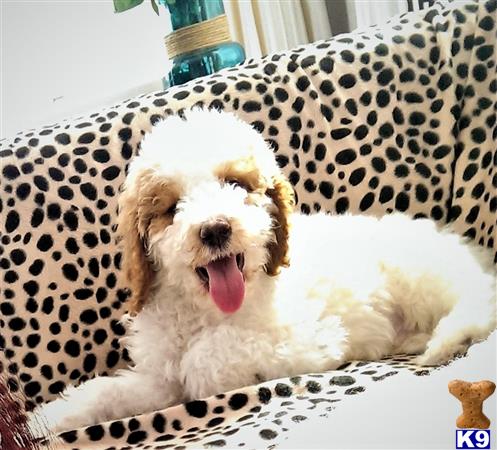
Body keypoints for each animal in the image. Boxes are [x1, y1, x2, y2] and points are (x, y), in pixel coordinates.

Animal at [33, 108, 494, 432]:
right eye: (171, 207)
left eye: (236, 185)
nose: (215, 229)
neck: (206, 310)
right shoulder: (157, 375)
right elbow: (115, 390)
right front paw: (51, 418)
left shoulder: (304, 340)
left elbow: (208, 353)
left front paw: (198, 371)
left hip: (424, 278)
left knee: (480, 301)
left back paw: (447, 340)